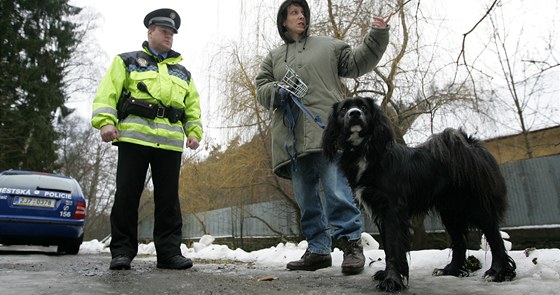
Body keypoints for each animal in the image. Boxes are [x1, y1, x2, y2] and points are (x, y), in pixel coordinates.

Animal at [322, 97, 520, 294]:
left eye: (363, 107)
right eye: (344, 109)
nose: (354, 114)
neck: (364, 150)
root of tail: (470, 144)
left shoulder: (393, 210)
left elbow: (393, 247)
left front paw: (392, 281)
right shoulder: (380, 212)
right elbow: (388, 246)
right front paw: (387, 275)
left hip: (474, 204)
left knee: (494, 236)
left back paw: (498, 272)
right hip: (450, 211)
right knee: (459, 241)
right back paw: (451, 270)